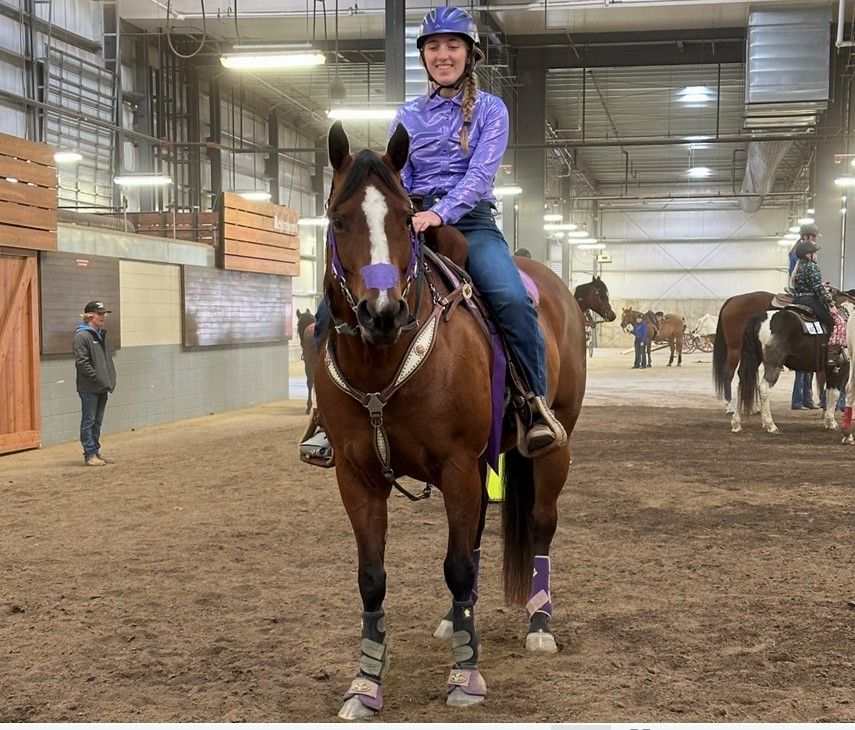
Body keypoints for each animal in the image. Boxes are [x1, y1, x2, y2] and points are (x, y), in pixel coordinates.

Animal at [312, 121, 586, 719]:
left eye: (403, 218)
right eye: (338, 220)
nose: (382, 312)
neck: (384, 361)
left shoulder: (458, 466)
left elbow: (456, 564)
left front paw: (467, 676)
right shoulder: (356, 477)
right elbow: (372, 578)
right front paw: (365, 682)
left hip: (555, 446)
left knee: (541, 525)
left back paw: (539, 622)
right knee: (478, 531)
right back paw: (456, 618)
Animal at [732, 293, 854, 435]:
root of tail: (759, 319)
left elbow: (829, 393)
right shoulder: (842, 368)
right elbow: (835, 393)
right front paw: (831, 422)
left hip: (753, 361)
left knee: (742, 385)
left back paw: (736, 423)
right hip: (774, 364)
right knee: (764, 388)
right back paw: (770, 425)